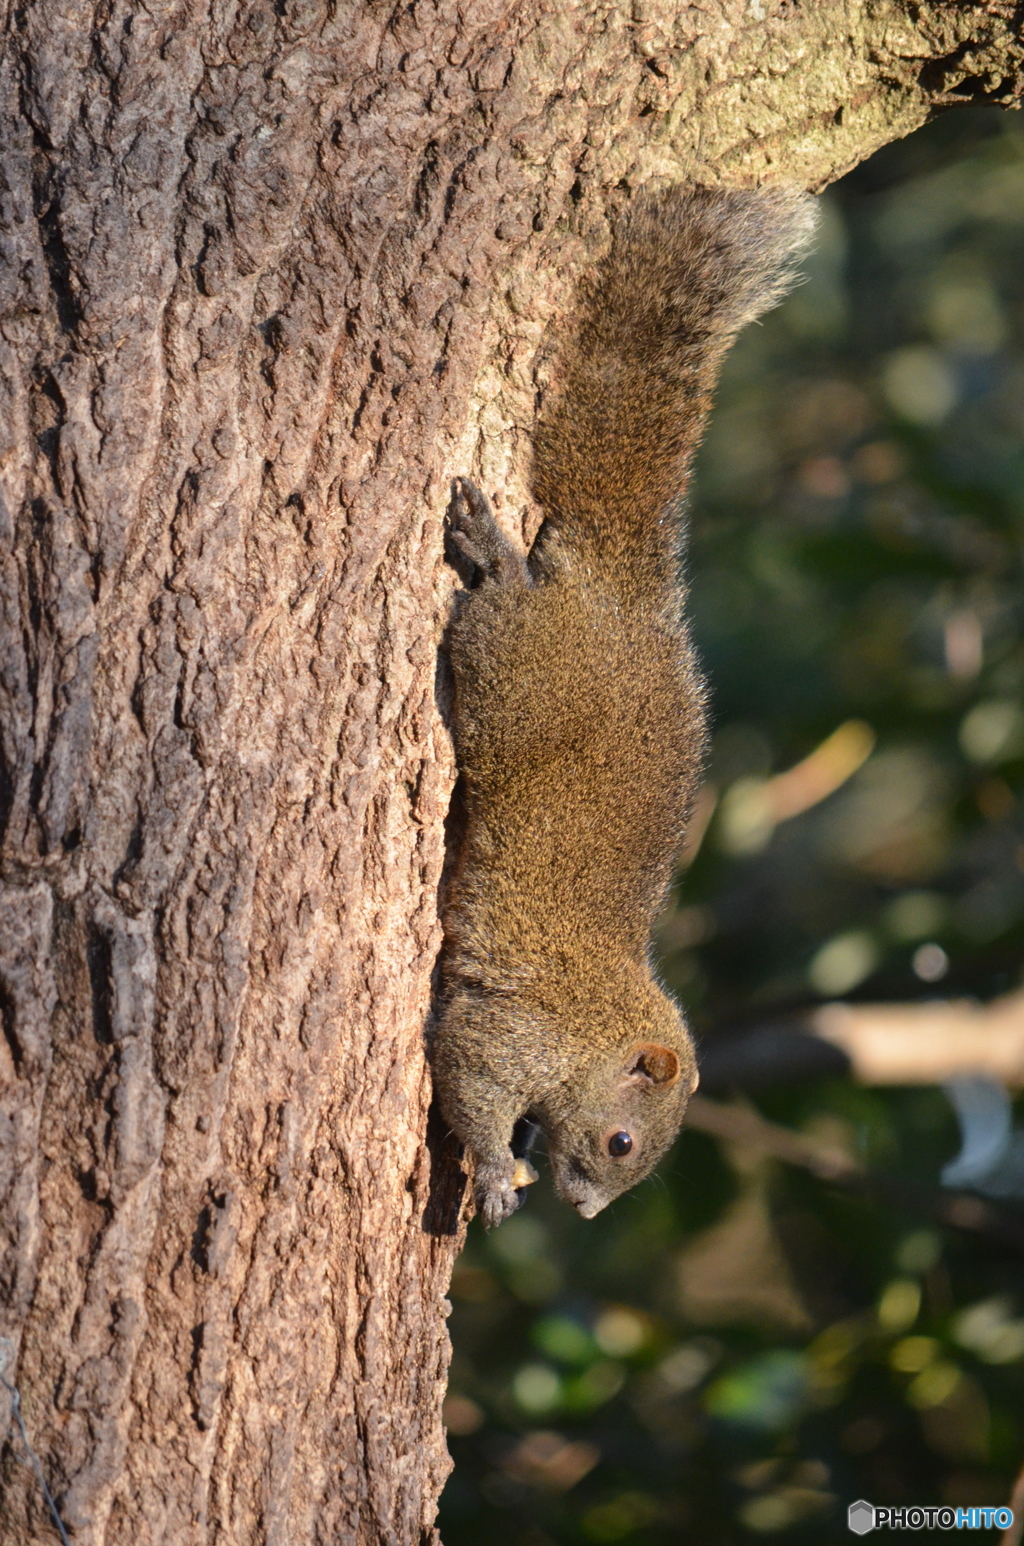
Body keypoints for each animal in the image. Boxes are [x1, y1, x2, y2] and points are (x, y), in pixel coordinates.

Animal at [433, 183, 816, 1218]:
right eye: (620, 1141)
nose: (585, 1209)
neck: (599, 1026)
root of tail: (621, 598)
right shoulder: (514, 1030)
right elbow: (467, 1079)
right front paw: (495, 1175)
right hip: (516, 676)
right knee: (504, 621)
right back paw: (496, 557)